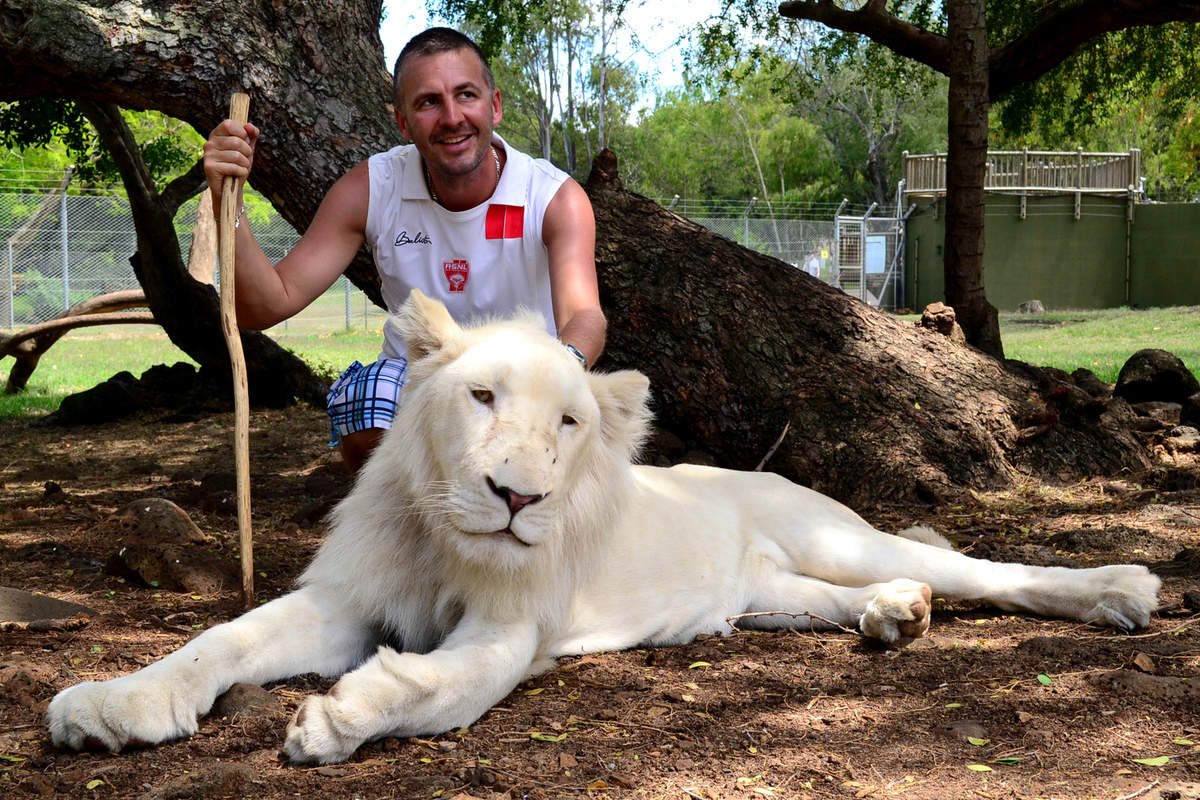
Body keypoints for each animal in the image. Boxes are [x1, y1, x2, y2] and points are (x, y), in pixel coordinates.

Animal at [49, 289, 1161, 762]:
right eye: (484, 397)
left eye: (570, 424)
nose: (517, 497)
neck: (441, 536)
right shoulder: (342, 598)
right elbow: (217, 640)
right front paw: (111, 703)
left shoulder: (512, 630)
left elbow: (438, 685)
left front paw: (340, 714)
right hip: (772, 594)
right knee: (838, 598)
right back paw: (896, 612)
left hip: (839, 534)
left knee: (987, 566)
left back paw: (1117, 588)